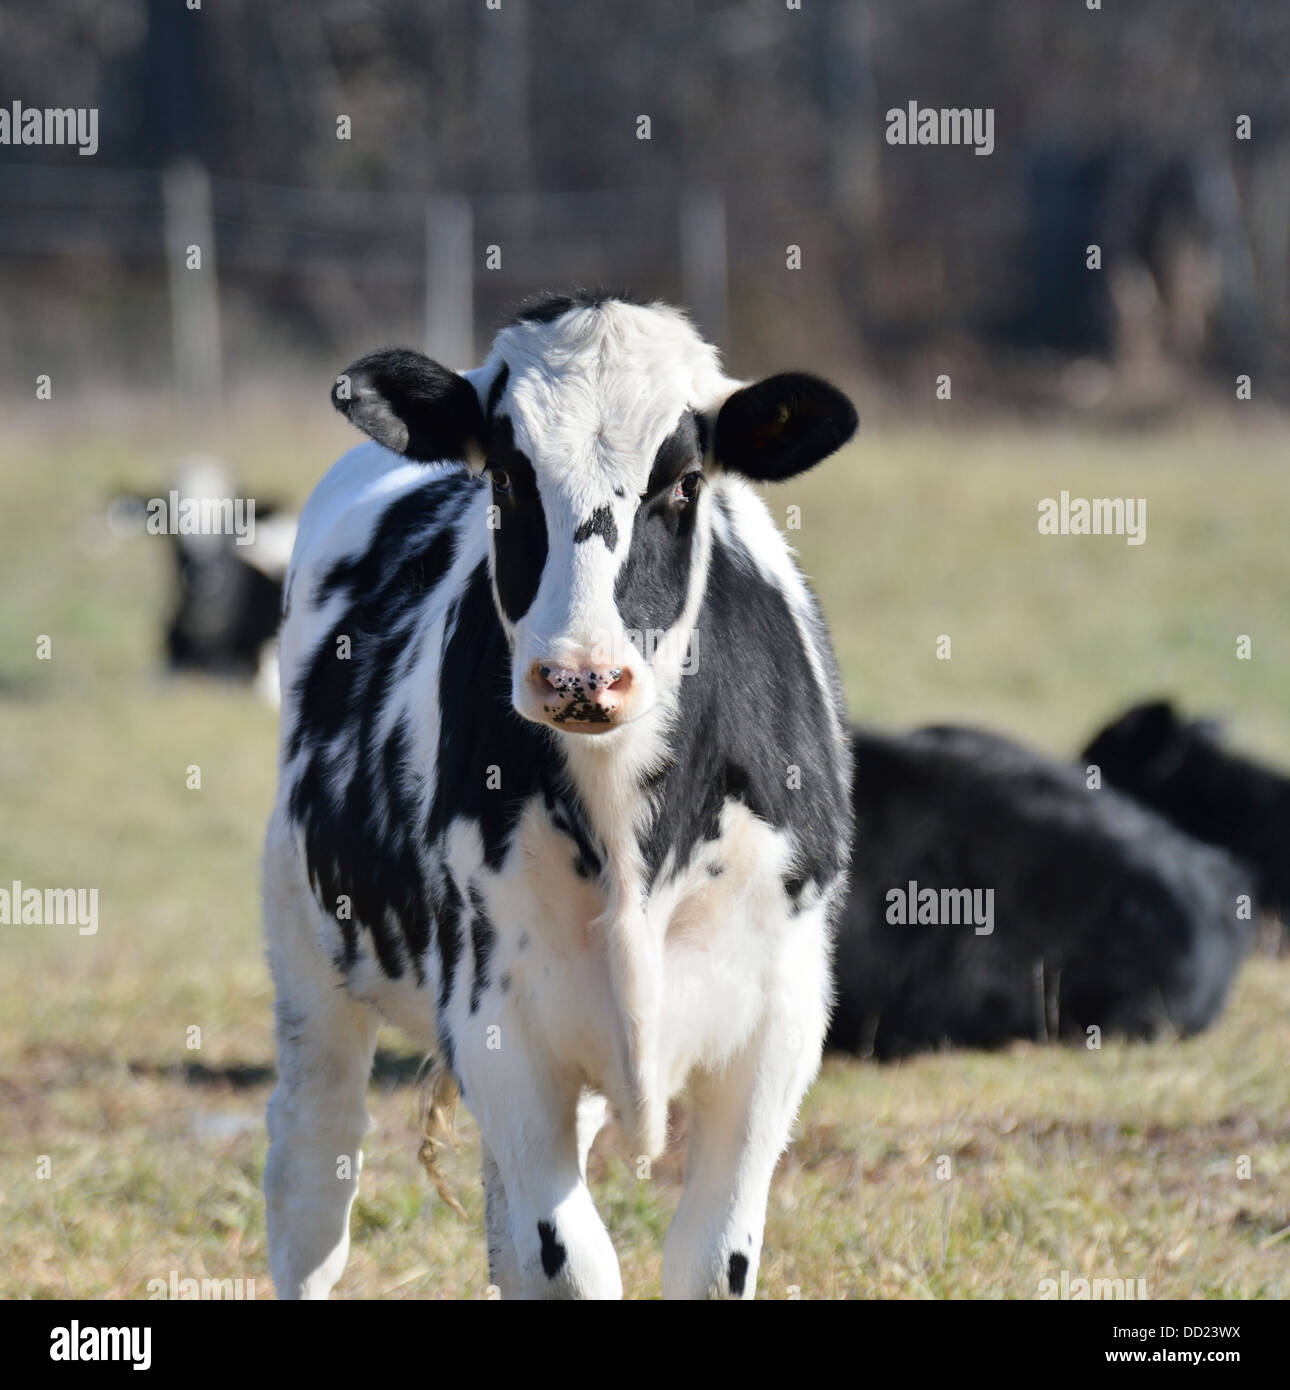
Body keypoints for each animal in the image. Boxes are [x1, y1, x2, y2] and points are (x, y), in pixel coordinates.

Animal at [262, 291, 859, 1300]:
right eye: (506, 477)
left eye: (684, 483)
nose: (581, 676)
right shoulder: (499, 1021)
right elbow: (569, 1260)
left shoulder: (774, 1024)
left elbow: (709, 1258)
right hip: (309, 956)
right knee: (312, 1175)